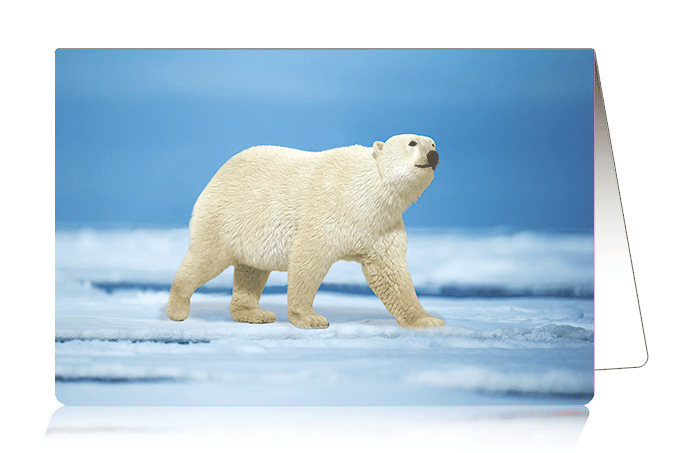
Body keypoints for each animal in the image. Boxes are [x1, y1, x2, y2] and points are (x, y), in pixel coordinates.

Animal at [166, 134, 444, 329]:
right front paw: (310, 318)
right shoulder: (330, 209)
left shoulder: (382, 227)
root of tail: (219, 172)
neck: (368, 193)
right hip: (226, 216)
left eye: (432, 142)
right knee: (205, 258)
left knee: (252, 269)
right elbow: (309, 257)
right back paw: (177, 309)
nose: (433, 155)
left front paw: (428, 320)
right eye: (412, 143)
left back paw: (254, 313)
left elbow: (391, 273)